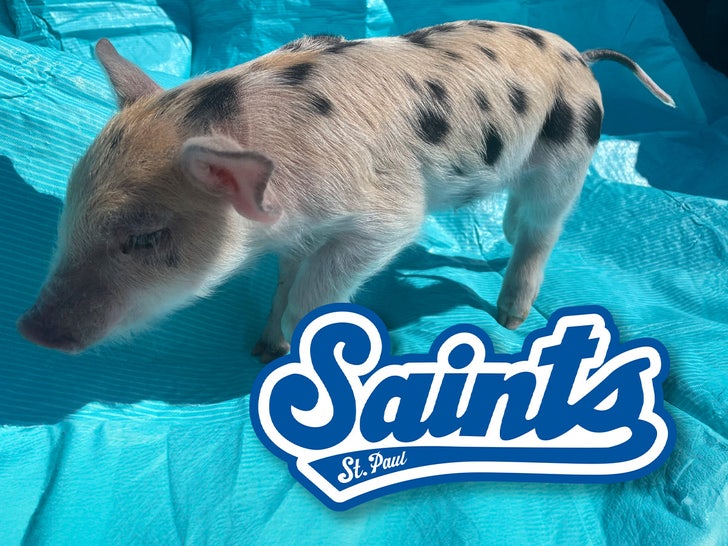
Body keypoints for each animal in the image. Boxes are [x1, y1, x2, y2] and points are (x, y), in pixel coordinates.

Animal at [17, 20, 674, 362]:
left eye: (147, 238)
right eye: (68, 216)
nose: (28, 328)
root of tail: (580, 55)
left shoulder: (388, 217)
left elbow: (318, 291)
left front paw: (289, 350)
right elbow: (287, 281)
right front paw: (263, 348)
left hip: (568, 159)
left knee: (543, 232)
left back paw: (510, 319)